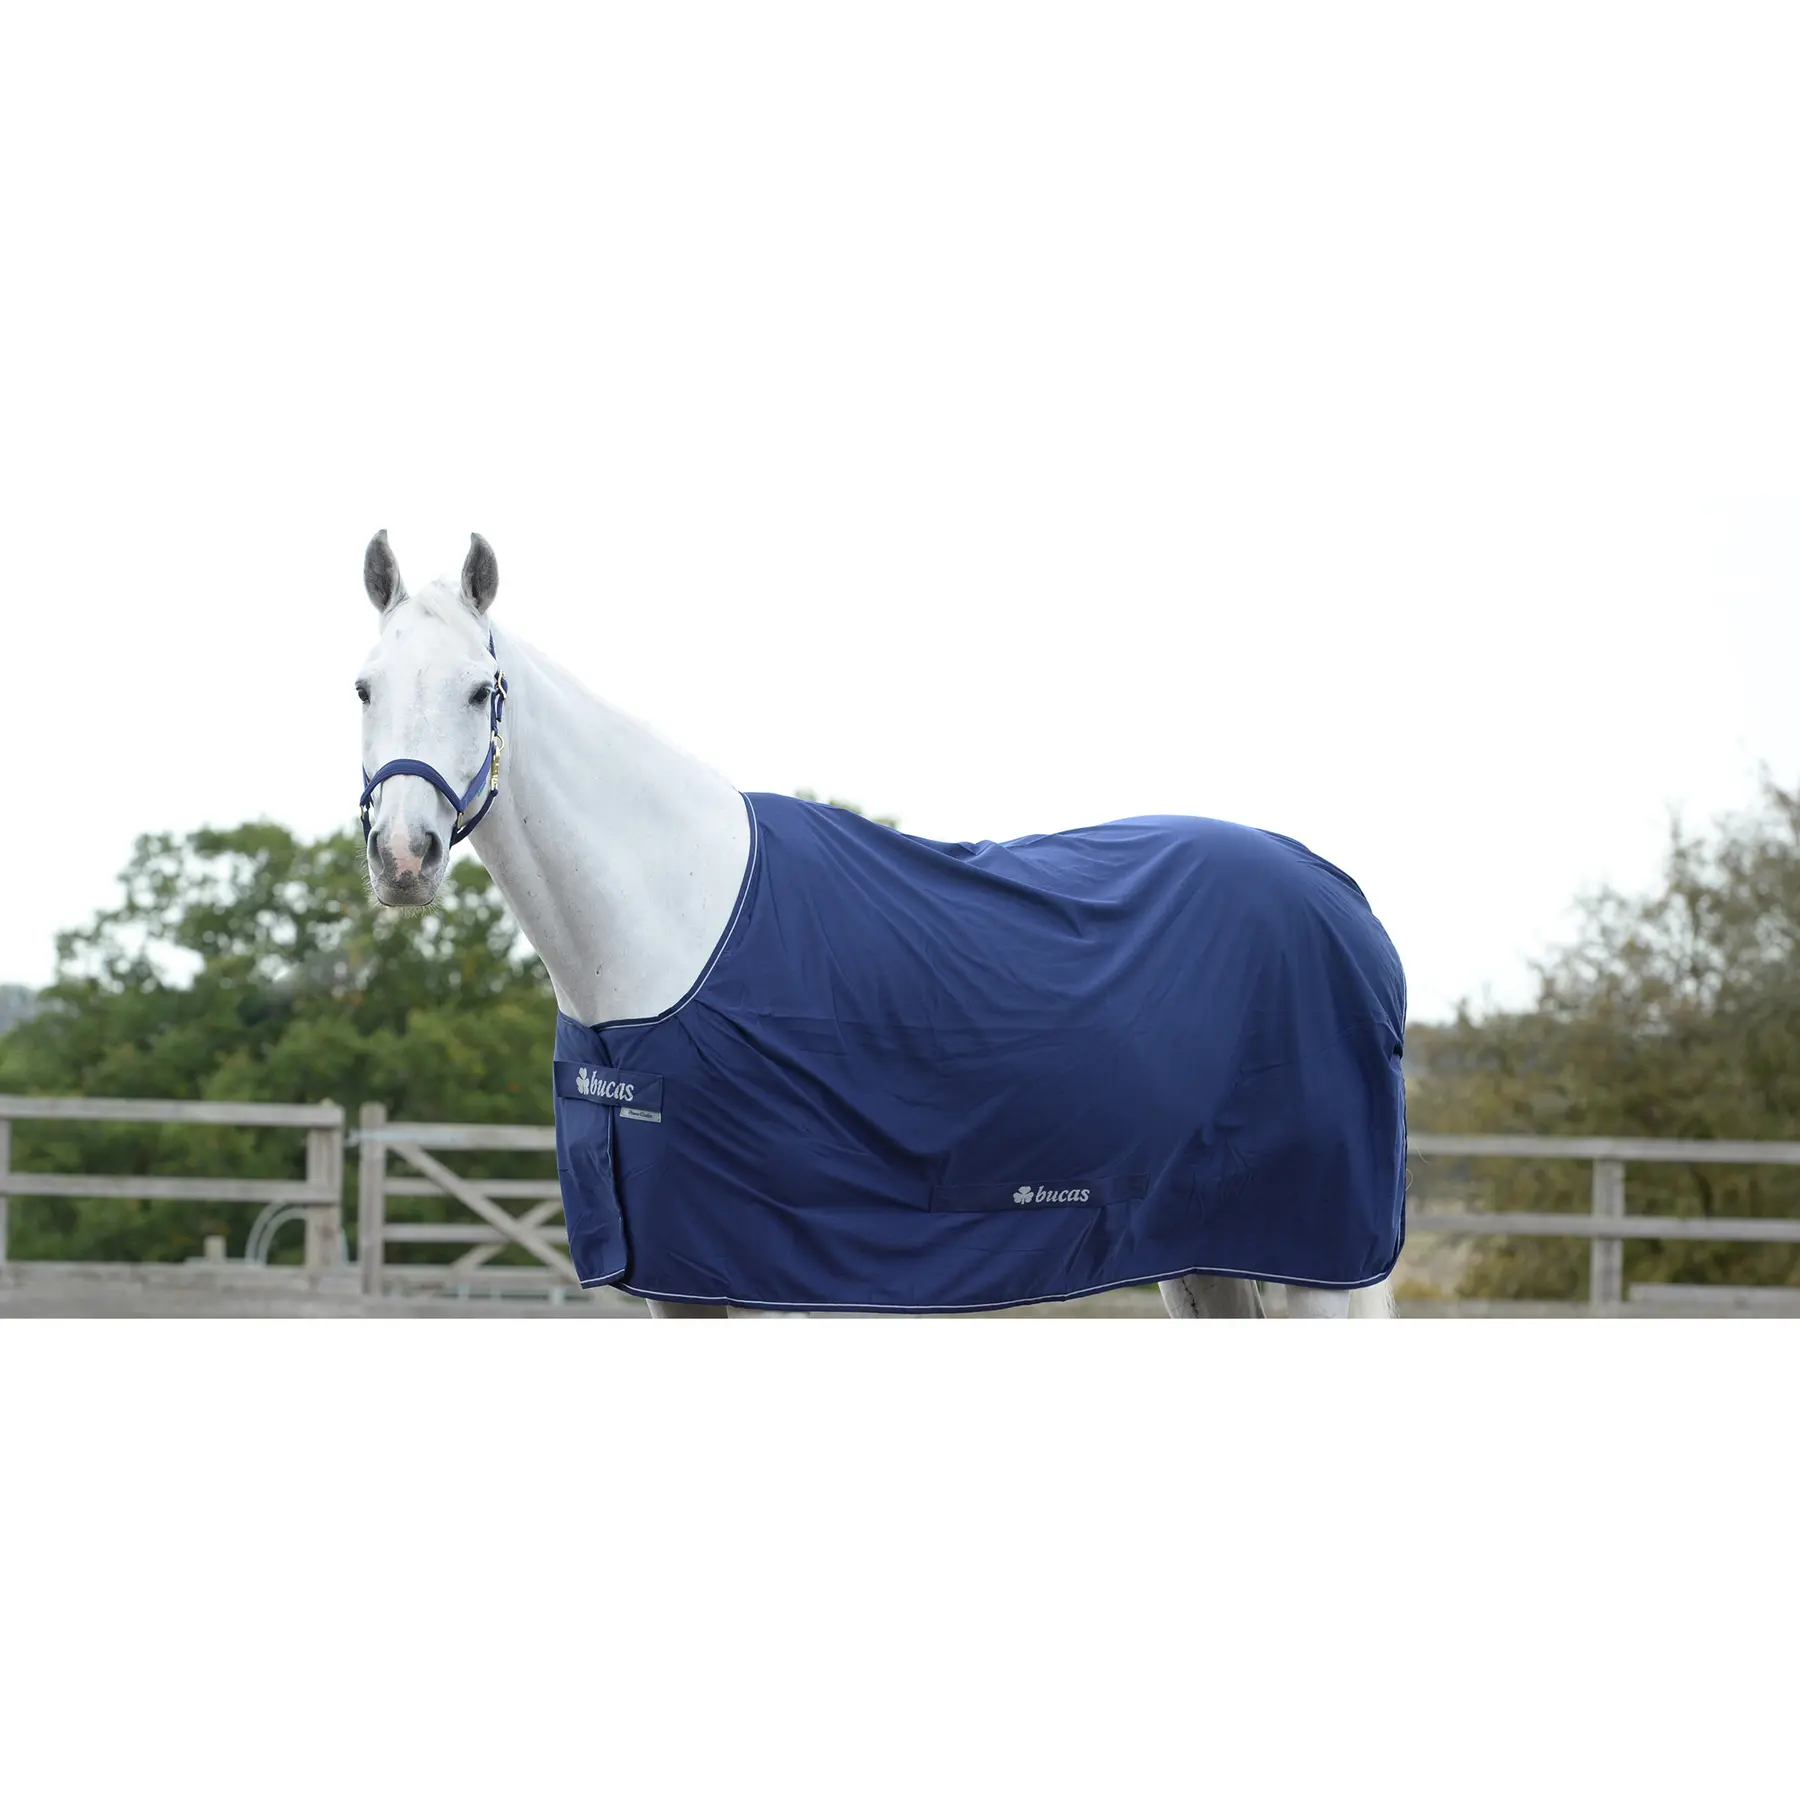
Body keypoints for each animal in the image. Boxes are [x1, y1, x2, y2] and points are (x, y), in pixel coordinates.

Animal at [354, 531, 1406, 1318]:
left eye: (479, 691)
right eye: (364, 687)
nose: (404, 857)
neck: (672, 937)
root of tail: (1342, 892)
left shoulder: (773, 1283)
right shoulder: (679, 1285)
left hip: (1319, 1263)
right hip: (1205, 1255)